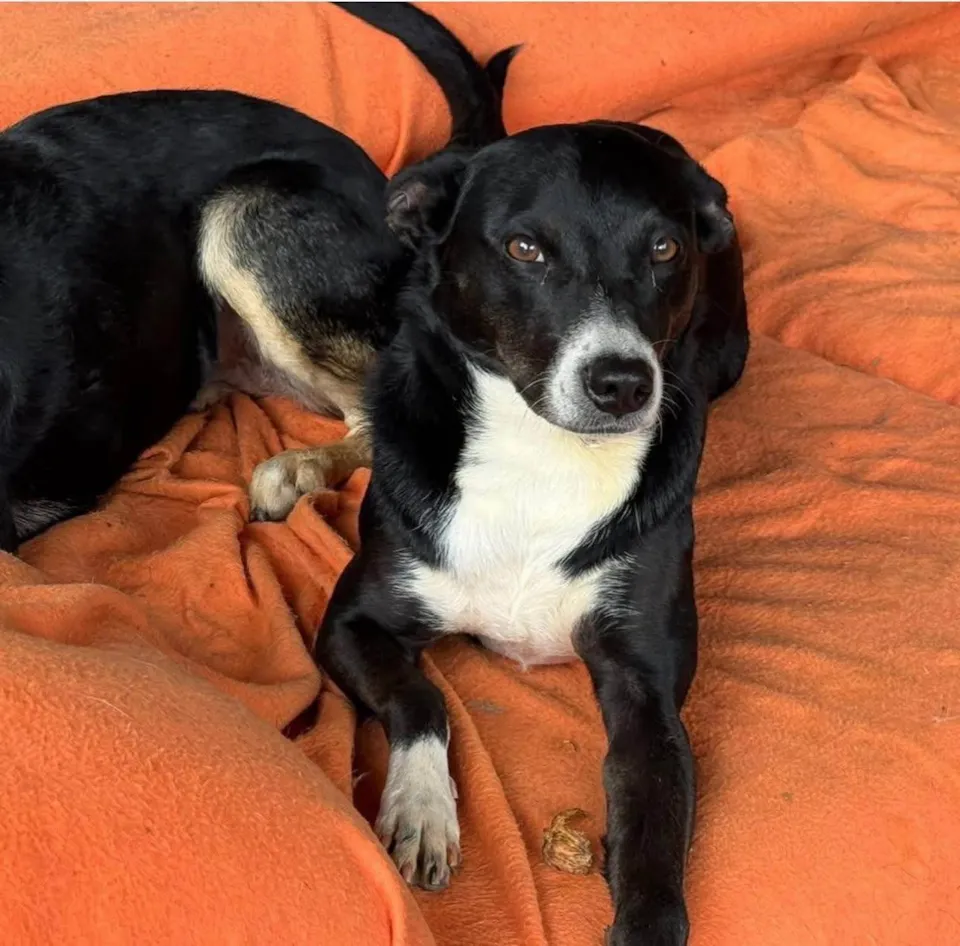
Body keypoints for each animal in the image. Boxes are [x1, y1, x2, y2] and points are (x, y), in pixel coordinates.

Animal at [312, 116, 749, 945]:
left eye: (663, 249)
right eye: (524, 249)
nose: (623, 384)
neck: (542, 454)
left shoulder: (646, 692)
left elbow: (654, 824)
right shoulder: (350, 623)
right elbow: (422, 697)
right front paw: (422, 805)